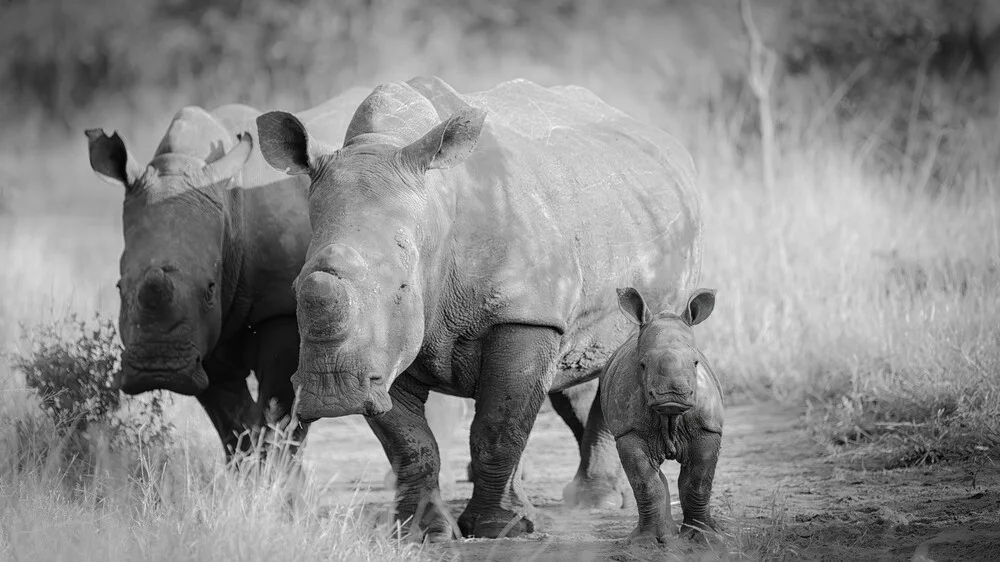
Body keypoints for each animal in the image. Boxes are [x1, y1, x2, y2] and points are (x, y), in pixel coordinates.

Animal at [86, 89, 368, 460]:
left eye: (209, 288)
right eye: (120, 288)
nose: (157, 368)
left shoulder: (281, 309)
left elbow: (281, 414)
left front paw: (277, 473)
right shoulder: (203, 336)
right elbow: (234, 425)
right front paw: (249, 471)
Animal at [254, 77, 700, 540]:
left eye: (402, 287)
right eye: (296, 287)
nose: (333, 393)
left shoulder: (523, 315)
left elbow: (499, 424)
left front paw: (500, 528)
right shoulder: (384, 353)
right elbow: (409, 440)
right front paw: (421, 531)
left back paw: (596, 503)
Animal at [596, 286, 724, 540]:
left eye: (696, 363)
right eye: (643, 365)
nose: (671, 395)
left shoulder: (708, 428)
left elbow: (698, 483)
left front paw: (703, 537)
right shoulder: (629, 432)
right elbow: (645, 484)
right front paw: (646, 541)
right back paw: (666, 533)